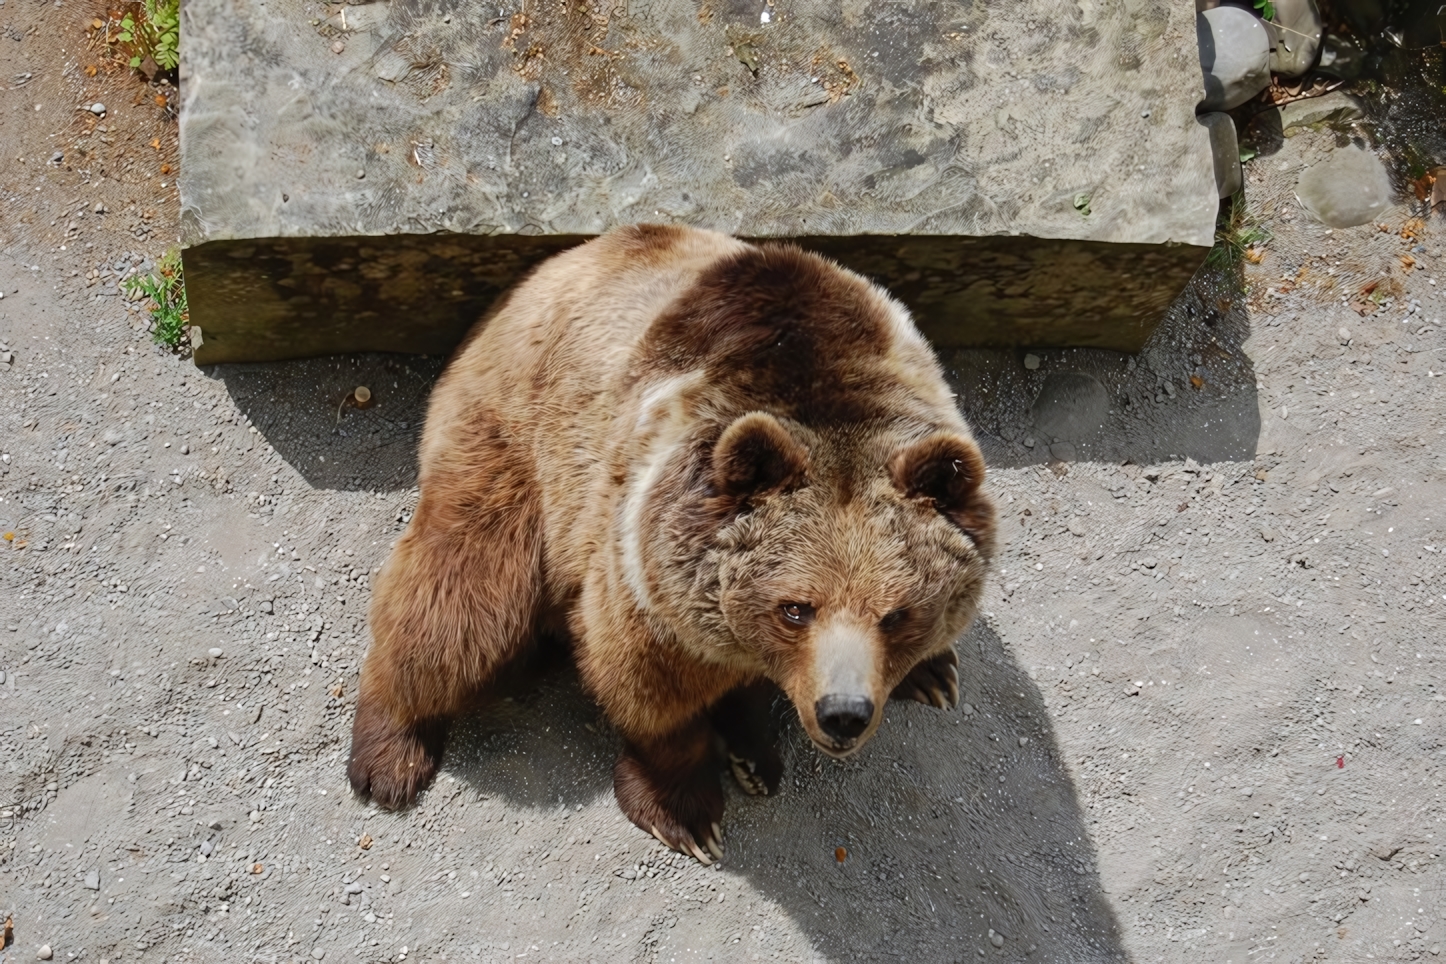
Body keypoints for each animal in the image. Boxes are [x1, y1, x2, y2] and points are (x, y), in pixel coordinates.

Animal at [349, 226, 994, 867]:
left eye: (898, 614)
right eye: (795, 608)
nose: (843, 714)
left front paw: (931, 672)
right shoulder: (642, 548)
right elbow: (649, 685)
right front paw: (688, 814)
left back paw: (757, 751)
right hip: (513, 446)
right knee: (462, 600)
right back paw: (390, 753)